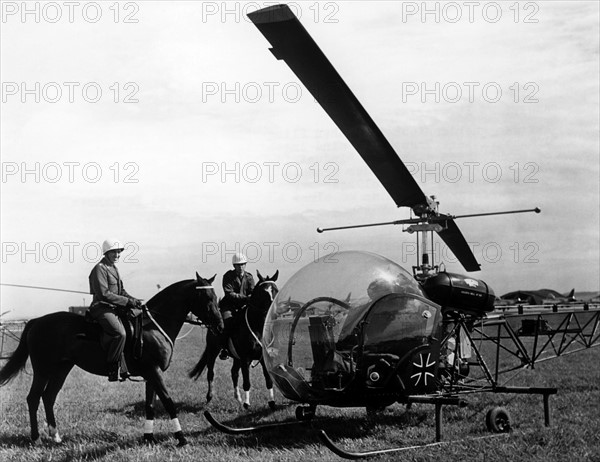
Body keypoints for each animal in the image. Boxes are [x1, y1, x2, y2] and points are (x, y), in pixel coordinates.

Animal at [0, 272, 223, 446]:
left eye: (216, 295)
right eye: (205, 296)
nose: (220, 325)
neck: (152, 326)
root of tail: (36, 321)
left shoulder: (150, 375)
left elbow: (150, 405)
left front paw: (149, 437)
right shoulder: (154, 371)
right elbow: (168, 402)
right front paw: (181, 438)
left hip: (61, 369)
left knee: (48, 397)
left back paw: (55, 436)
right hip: (43, 370)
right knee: (33, 398)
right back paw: (36, 437)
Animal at [190, 270, 278, 408]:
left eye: (276, 290)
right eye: (264, 292)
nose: (273, 312)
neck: (257, 327)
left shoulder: (262, 358)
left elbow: (268, 380)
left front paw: (272, 402)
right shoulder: (245, 359)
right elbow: (247, 382)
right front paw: (247, 404)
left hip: (236, 358)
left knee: (234, 373)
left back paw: (238, 398)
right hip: (213, 351)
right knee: (211, 373)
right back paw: (210, 397)